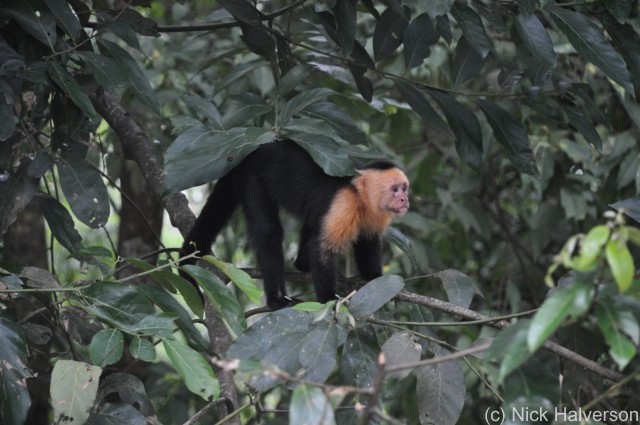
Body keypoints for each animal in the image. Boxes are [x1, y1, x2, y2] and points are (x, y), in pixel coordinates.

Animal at [181, 139, 410, 308]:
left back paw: (302, 264)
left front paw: (377, 281)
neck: (361, 197)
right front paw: (329, 302)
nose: (404, 200)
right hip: (253, 178)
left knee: (313, 219)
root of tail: (252, 152)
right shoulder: (343, 203)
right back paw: (276, 299)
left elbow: (367, 241)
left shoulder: (375, 213)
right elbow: (322, 249)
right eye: (395, 189)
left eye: (404, 188)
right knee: (268, 231)